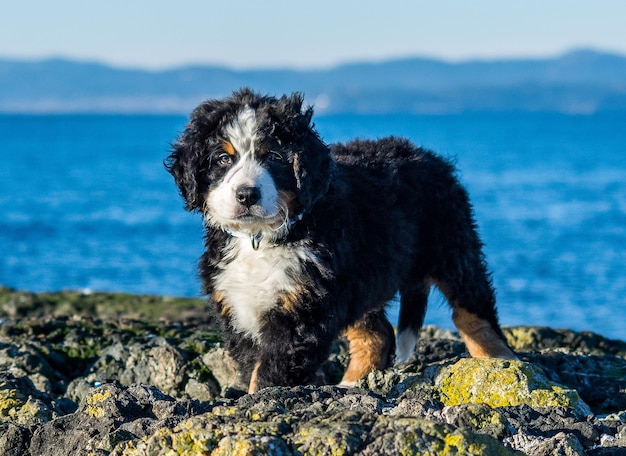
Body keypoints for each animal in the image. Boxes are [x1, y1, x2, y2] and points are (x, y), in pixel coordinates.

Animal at [165, 88, 512, 392]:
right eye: (223, 159)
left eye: (274, 157)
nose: (247, 195)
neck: (262, 238)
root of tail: (427, 155)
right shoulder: (239, 306)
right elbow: (254, 364)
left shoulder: (302, 308)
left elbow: (268, 372)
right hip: (360, 278)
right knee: (377, 332)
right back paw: (351, 383)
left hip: (452, 247)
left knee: (473, 310)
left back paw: (497, 363)